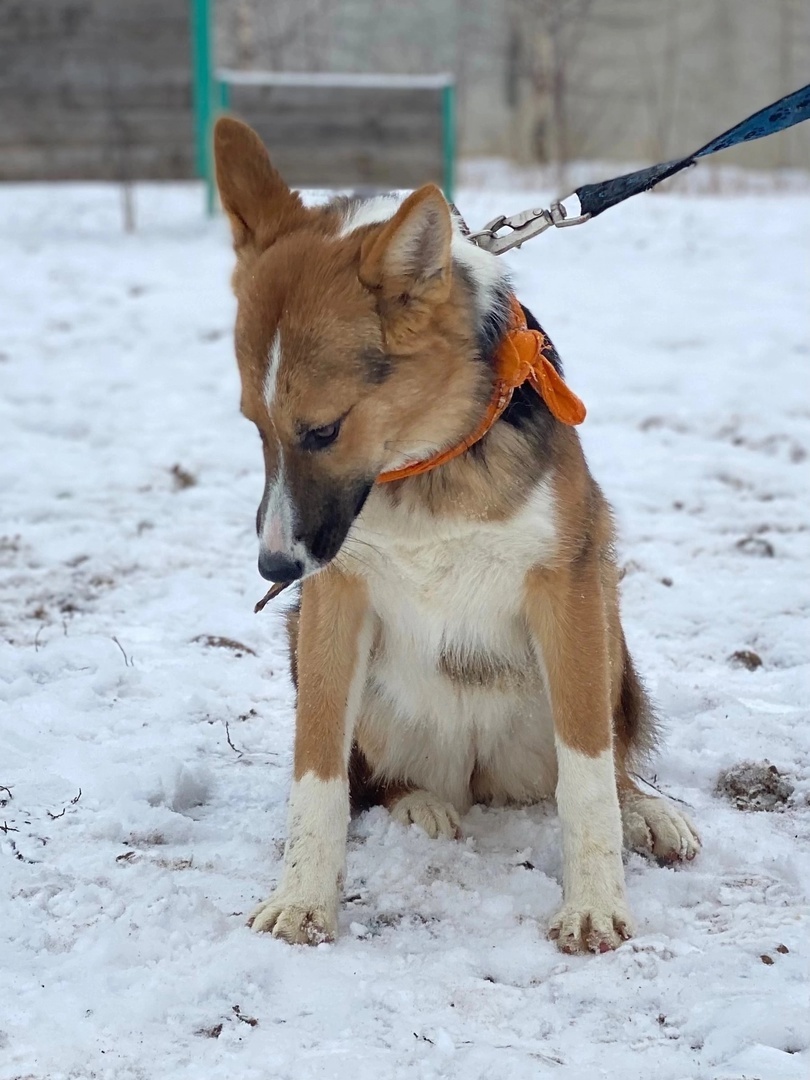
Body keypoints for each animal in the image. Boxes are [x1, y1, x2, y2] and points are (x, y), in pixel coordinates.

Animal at [212, 118, 699, 959]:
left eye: (323, 430)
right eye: (255, 424)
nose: (274, 564)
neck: (426, 460)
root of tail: (476, 775)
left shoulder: (567, 588)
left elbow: (587, 773)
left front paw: (595, 904)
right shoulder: (334, 600)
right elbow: (318, 771)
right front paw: (301, 897)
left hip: (609, 637)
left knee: (604, 762)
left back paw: (648, 809)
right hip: (310, 642)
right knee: (378, 779)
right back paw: (420, 804)